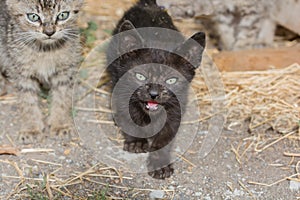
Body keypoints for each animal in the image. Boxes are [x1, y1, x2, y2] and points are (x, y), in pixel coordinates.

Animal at [0, 0, 83, 143]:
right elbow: (27, 100)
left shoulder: (65, 70)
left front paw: (60, 124)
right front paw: (31, 128)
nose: (49, 32)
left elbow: (62, 97)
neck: (45, 50)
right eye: (33, 17)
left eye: (63, 15)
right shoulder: (21, 71)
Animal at [106, 0, 206, 179]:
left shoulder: (176, 107)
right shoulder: (123, 92)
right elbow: (130, 117)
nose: (153, 94)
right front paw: (136, 142)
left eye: (171, 80)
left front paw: (160, 164)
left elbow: (165, 138)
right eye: (140, 76)